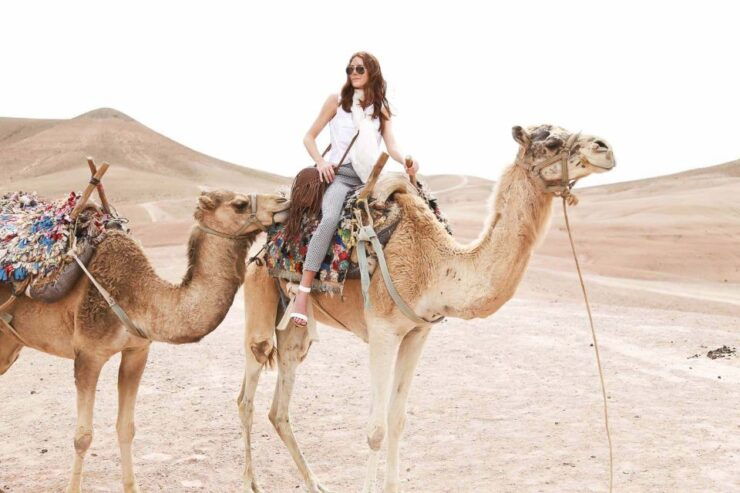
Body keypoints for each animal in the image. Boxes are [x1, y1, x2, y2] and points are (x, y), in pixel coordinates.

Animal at [0, 190, 289, 493]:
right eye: (239, 204)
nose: (283, 199)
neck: (138, 294)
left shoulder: (137, 351)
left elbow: (126, 428)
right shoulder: (88, 354)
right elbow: (83, 437)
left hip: (9, 342)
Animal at [237, 124, 616, 493]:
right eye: (551, 142)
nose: (606, 148)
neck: (434, 262)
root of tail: (268, 239)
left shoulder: (418, 332)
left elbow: (397, 419)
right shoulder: (382, 331)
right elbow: (375, 430)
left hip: (295, 330)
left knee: (279, 409)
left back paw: (315, 482)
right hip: (259, 297)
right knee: (247, 394)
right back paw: (250, 482)